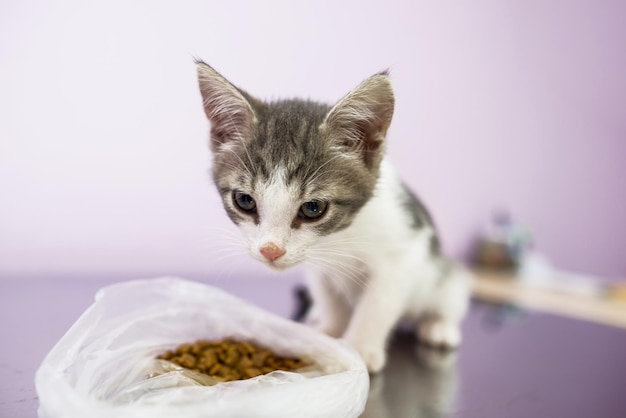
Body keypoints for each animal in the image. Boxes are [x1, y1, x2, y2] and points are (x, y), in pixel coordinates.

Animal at [195, 62, 468, 372]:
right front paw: (329, 333)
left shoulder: (405, 251)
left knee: (449, 298)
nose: (270, 250)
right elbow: (329, 297)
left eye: (313, 208)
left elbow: (378, 302)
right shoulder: (316, 263)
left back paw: (439, 327)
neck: (339, 236)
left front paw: (360, 348)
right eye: (244, 201)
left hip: (443, 277)